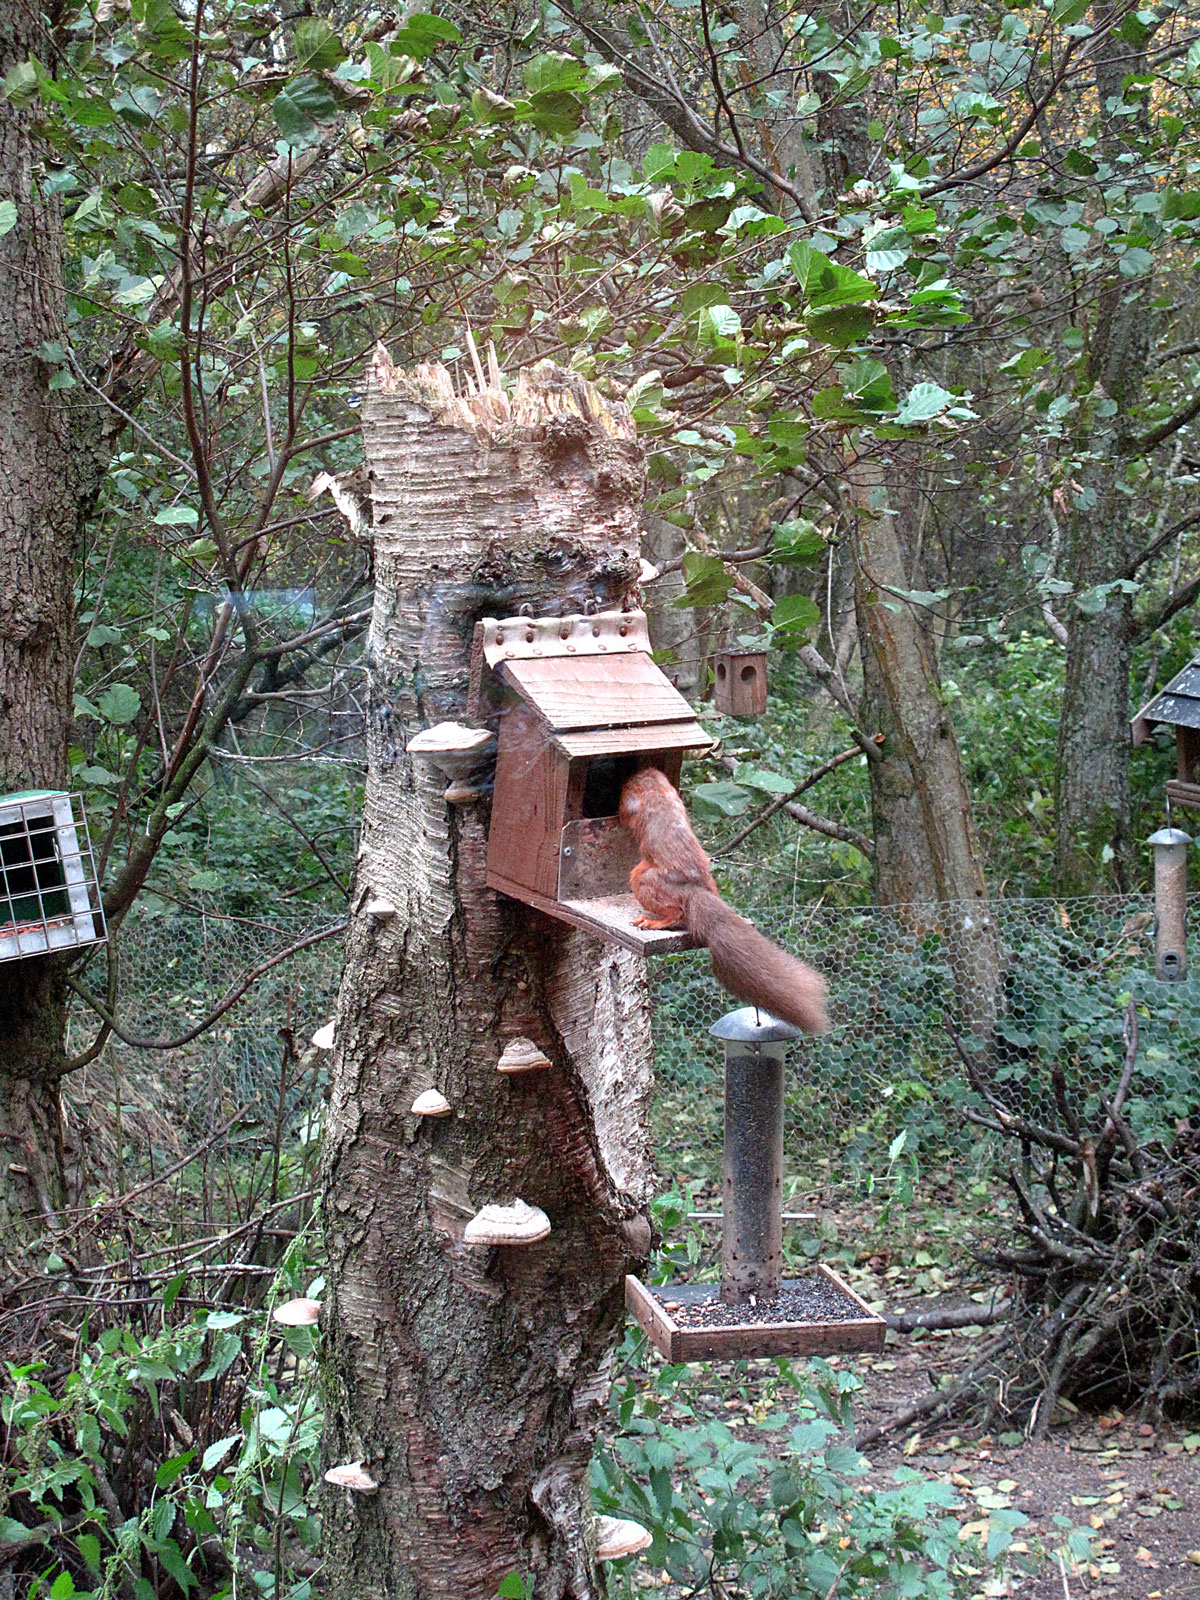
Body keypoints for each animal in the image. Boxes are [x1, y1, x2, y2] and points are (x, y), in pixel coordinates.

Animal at [618, 768, 828, 1034]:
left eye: (632, 781)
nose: (626, 780)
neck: (657, 789)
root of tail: (695, 892)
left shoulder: (635, 805)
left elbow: (625, 813)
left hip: (643, 879)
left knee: (675, 913)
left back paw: (655, 921)